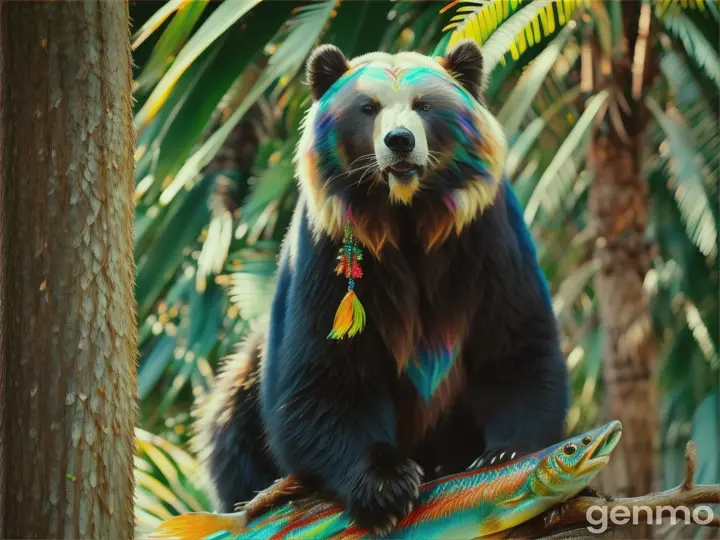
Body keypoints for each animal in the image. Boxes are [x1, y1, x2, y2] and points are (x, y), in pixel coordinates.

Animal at [191, 40, 568, 532]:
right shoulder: (329, 251)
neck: (406, 213)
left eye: (424, 106)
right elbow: (324, 378)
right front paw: (387, 488)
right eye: (368, 108)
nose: (400, 141)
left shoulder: (485, 238)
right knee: (233, 423)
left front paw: (503, 455)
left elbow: (514, 345)